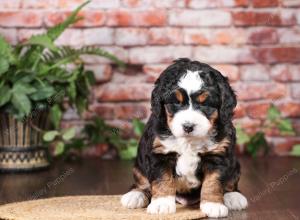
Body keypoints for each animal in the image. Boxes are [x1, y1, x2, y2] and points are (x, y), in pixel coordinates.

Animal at [120, 57, 247, 217]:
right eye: (176, 102)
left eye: (205, 104)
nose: (188, 126)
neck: (189, 141)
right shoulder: (159, 153)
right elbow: (162, 179)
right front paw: (161, 204)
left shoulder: (218, 155)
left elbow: (213, 182)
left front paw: (213, 205)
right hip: (138, 165)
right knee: (141, 182)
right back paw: (135, 195)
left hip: (235, 165)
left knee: (231, 183)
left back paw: (233, 196)